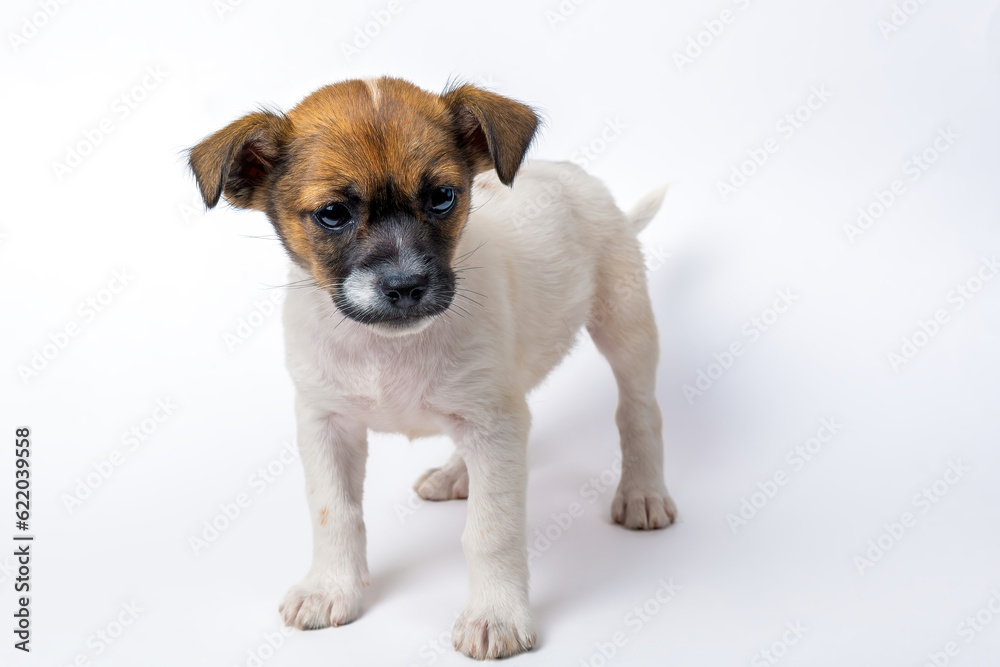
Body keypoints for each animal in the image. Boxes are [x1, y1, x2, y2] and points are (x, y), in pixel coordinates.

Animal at [188, 77, 676, 656]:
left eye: (442, 197)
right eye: (333, 213)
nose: (405, 286)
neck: (386, 349)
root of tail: (578, 177)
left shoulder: (494, 423)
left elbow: (491, 529)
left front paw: (495, 616)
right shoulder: (326, 423)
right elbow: (334, 512)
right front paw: (332, 588)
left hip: (625, 328)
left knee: (638, 413)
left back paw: (643, 493)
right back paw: (453, 474)